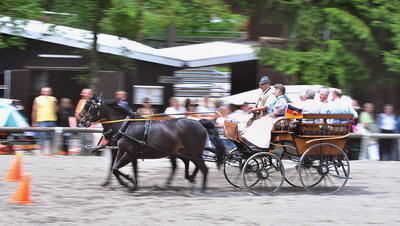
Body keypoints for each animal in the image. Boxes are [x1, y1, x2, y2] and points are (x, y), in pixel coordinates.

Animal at [79, 94, 223, 192]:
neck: (126, 126)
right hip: (184, 152)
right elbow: (117, 168)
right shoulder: (125, 152)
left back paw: (201, 189)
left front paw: (129, 182)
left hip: (193, 153)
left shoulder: (129, 153)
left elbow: (116, 168)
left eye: (89, 107)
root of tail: (199, 123)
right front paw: (131, 184)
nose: (81, 120)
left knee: (203, 168)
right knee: (190, 166)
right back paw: (186, 180)